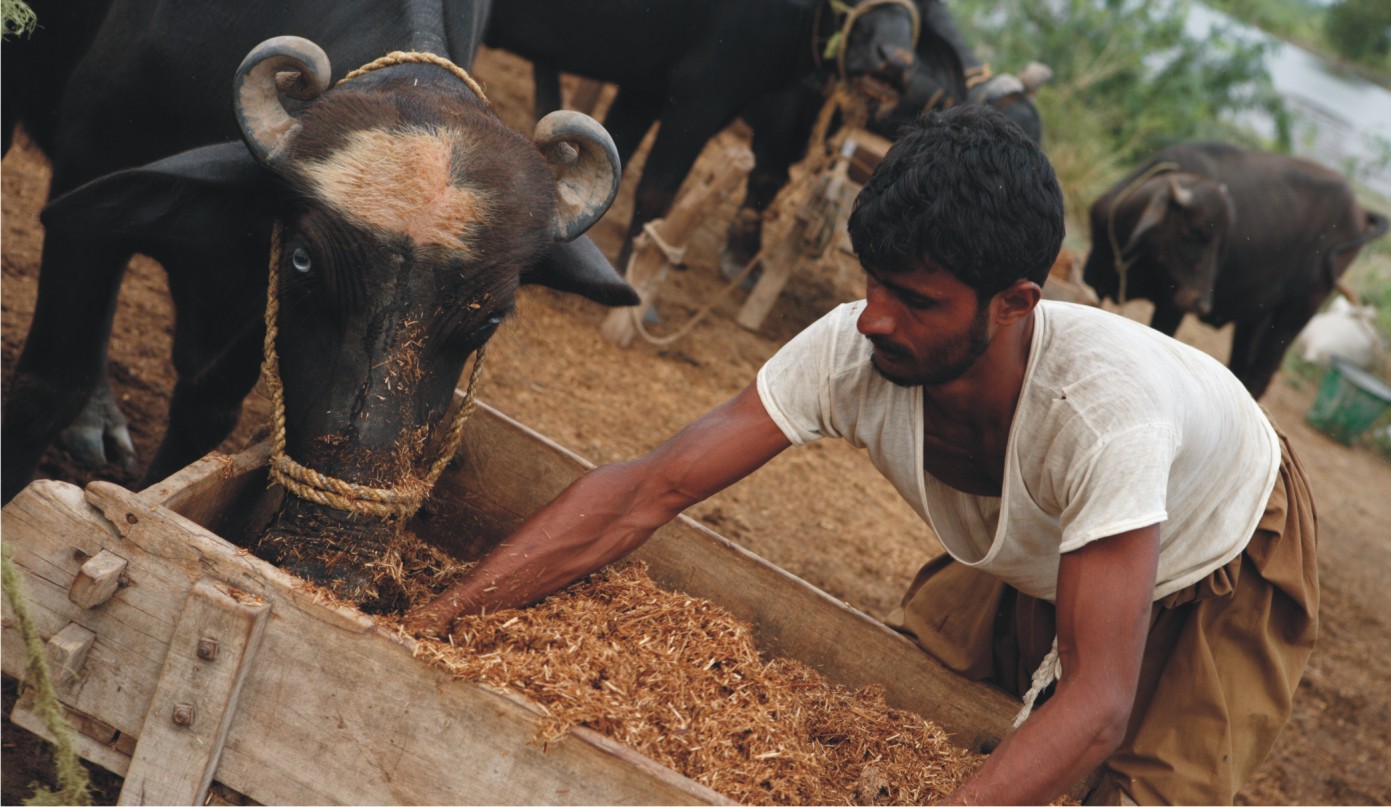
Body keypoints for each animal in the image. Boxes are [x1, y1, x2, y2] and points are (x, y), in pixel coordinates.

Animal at [1, 0, 639, 605]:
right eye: (304, 261)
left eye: (493, 316)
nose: (332, 569)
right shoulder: (88, 177)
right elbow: (48, 389)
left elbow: (205, 411)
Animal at [1082, 141, 1390, 398]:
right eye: (1191, 233)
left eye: (1222, 242)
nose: (1201, 302)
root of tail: (1360, 211)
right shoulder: (1092, 276)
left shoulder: (1171, 307)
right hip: (1257, 315)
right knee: (1243, 364)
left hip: (1297, 312)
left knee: (1264, 369)